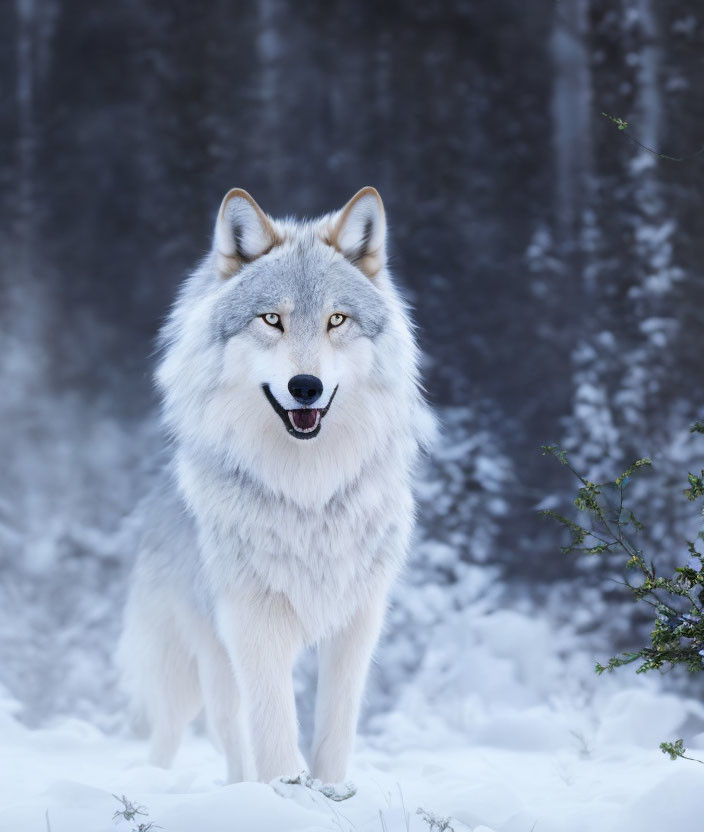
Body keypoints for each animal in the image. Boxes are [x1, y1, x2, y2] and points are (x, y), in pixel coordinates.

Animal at [118, 185, 432, 784]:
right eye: (271, 319)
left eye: (336, 319)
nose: (305, 386)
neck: (307, 491)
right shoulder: (253, 622)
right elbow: (274, 734)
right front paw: (285, 791)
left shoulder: (358, 622)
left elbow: (334, 732)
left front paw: (329, 792)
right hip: (193, 665)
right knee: (188, 733)